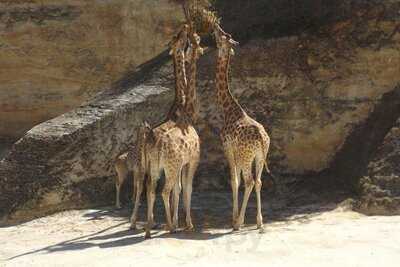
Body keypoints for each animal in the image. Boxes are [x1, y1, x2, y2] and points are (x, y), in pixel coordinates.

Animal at [212, 24, 272, 232]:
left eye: (222, 36)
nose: (215, 28)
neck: (227, 108)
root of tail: (262, 138)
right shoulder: (236, 153)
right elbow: (237, 181)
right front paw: (239, 218)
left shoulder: (228, 149)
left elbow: (234, 181)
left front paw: (234, 219)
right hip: (260, 157)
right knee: (259, 181)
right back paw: (260, 222)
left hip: (248, 157)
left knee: (249, 181)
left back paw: (239, 223)